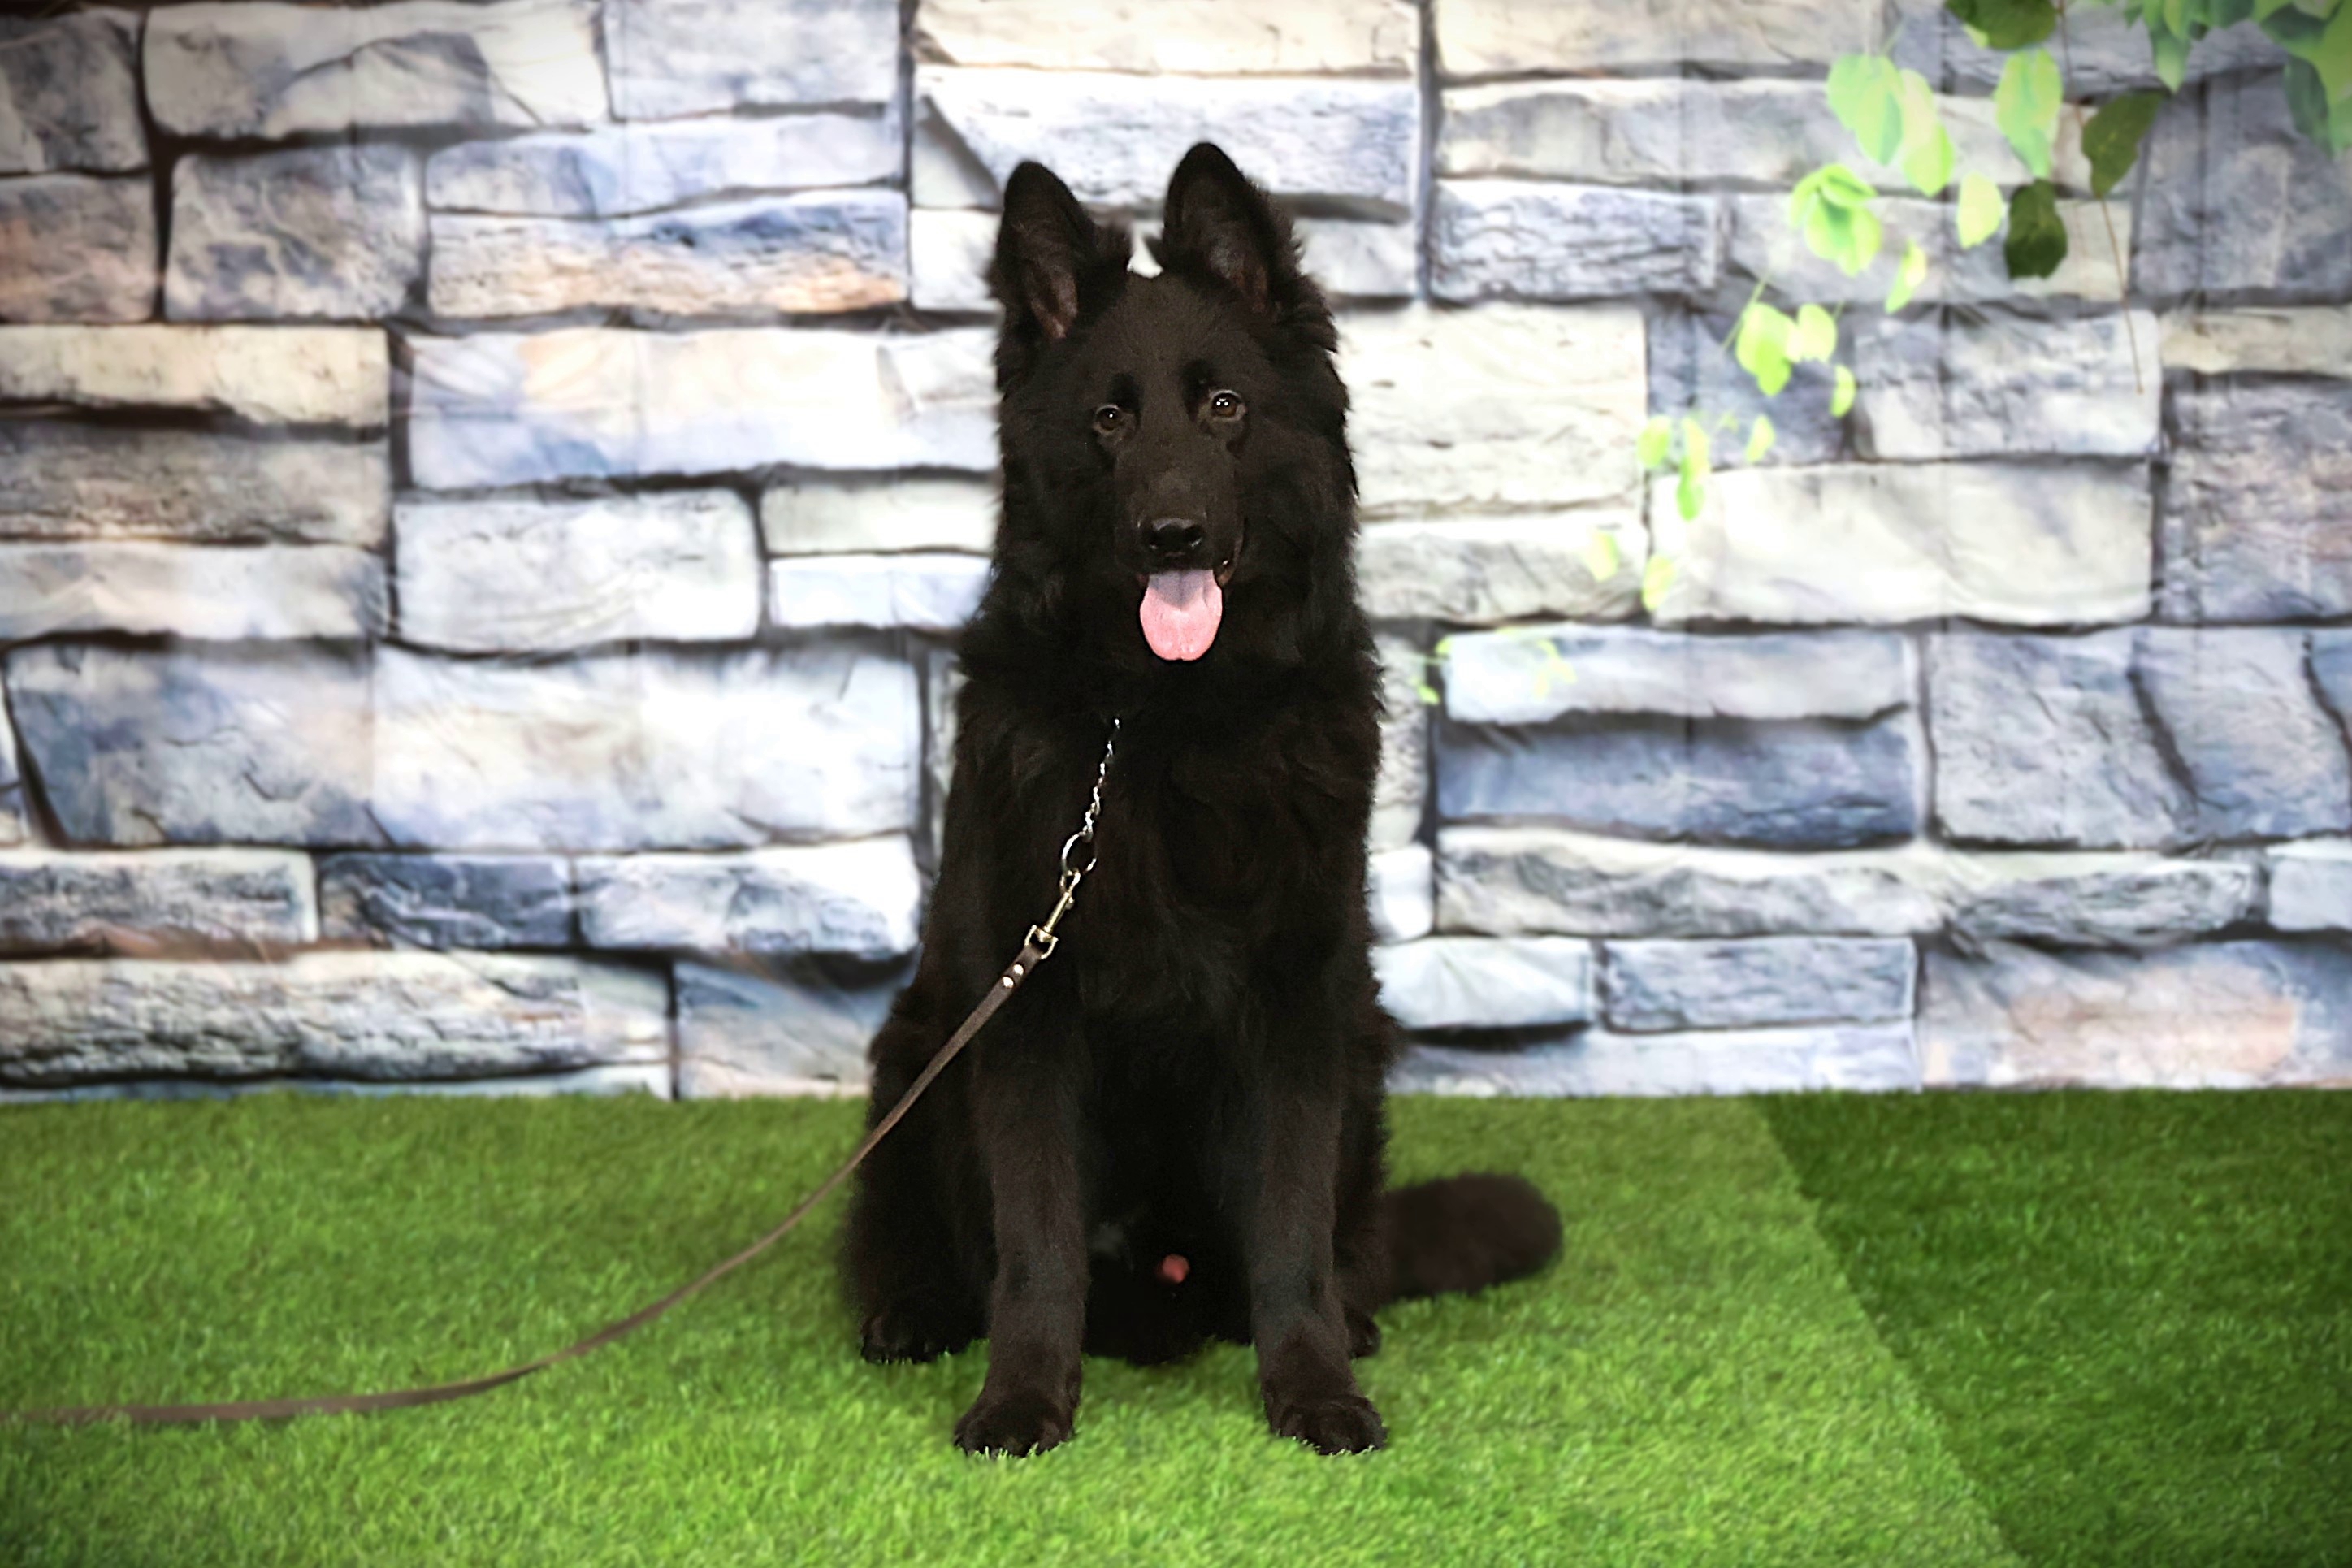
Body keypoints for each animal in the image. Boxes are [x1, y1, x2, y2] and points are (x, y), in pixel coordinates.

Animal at [843, 143, 1561, 1457]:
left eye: (1224, 406)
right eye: (1110, 419)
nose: (1171, 531)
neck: (1167, 722)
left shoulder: (1298, 1007)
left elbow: (1289, 1230)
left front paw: (1312, 1384)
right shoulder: (1025, 1017)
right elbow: (1035, 1238)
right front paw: (1022, 1395)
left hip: (1362, 1040)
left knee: (1338, 1241)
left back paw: (1351, 1314)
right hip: (920, 1044)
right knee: (909, 1229)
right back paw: (915, 1308)